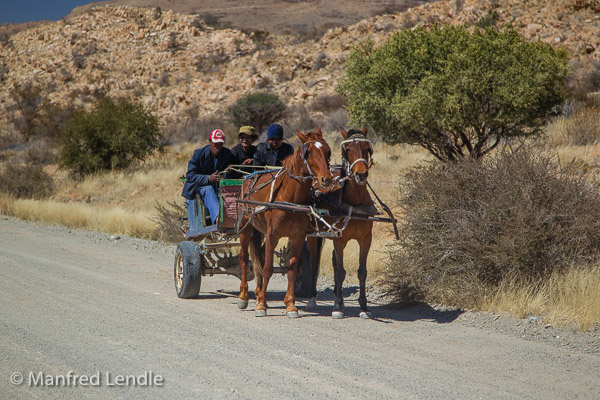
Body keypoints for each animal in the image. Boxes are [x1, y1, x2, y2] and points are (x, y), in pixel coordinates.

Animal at [238, 126, 332, 318]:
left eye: (328, 151)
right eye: (308, 152)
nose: (326, 178)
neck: (290, 197)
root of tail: (248, 178)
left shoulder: (298, 236)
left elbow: (292, 269)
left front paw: (290, 305)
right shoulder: (272, 234)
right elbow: (267, 268)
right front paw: (261, 305)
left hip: (259, 231)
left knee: (258, 257)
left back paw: (258, 293)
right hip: (245, 228)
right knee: (244, 259)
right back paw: (244, 296)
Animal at [308, 126, 372, 318]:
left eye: (367, 148)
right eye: (348, 149)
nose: (361, 174)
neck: (354, 203)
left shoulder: (366, 239)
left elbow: (361, 272)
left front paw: (364, 307)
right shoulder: (339, 239)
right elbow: (341, 271)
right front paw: (337, 306)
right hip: (314, 235)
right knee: (314, 262)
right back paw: (312, 298)